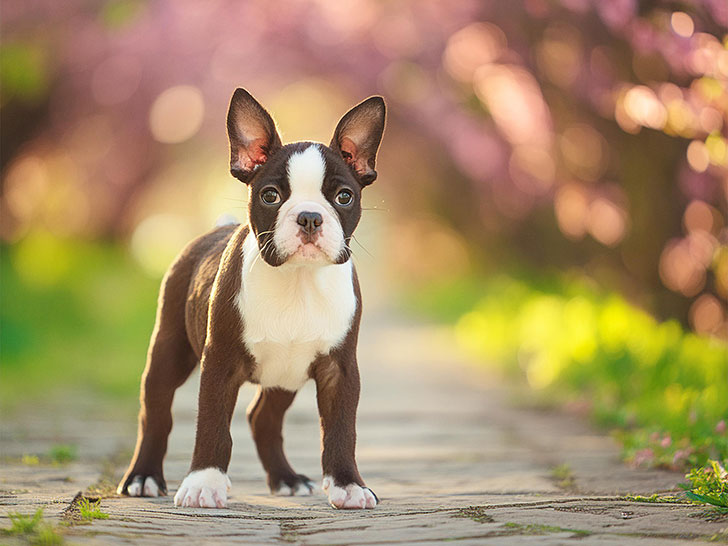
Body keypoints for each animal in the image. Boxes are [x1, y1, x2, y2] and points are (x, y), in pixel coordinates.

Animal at [116, 87, 384, 508]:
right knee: (156, 411)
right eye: (270, 195)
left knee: (263, 418)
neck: (297, 281)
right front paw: (204, 483)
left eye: (344, 196)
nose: (310, 217)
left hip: (285, 375)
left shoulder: (339, 371)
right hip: (169, 349)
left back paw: (287, 479)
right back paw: (143, 477)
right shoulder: (219, 363)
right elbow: (211, 424)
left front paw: (349, 485)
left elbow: (342, 430)